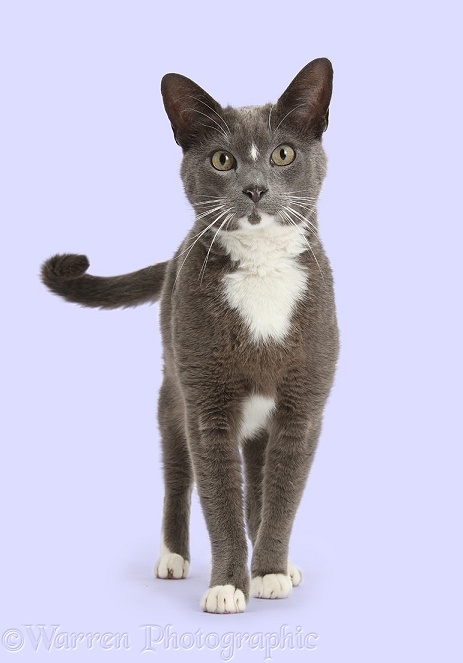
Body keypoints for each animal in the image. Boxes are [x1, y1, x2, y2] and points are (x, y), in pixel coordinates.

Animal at [41, 59, 340, 616]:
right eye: (222, 160)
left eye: (283, 154)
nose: (255, 188)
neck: (262, 269)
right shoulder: (206, 402)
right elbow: (218, 497)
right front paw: (228, 585)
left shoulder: (304, 406)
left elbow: (282, 496)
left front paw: (269, 571)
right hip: (171, 388)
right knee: (178, 474)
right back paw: (173, 556)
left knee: (258, 484)